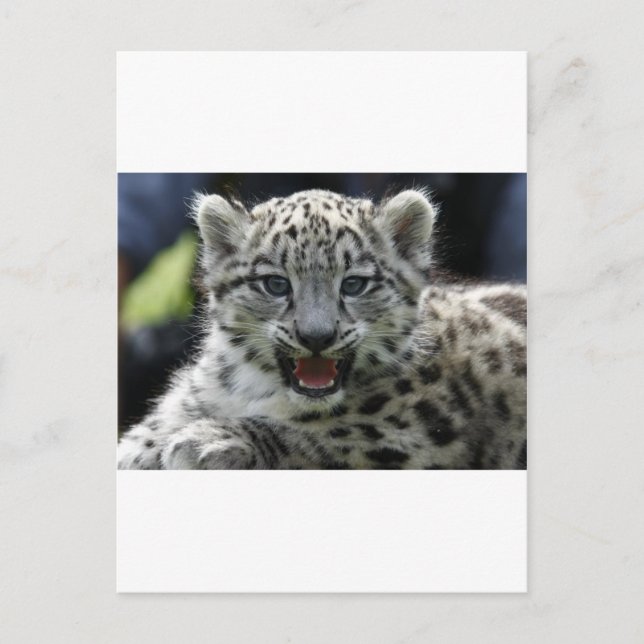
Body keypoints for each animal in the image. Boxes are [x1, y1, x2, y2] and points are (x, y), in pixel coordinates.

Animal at [117, 188, 526, 470]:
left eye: (354, 284)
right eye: (276, 284)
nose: (316, 336)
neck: (254, 387)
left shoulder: (422, 430)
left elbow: (331, 434)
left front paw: (205, 441)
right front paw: (140, 448)